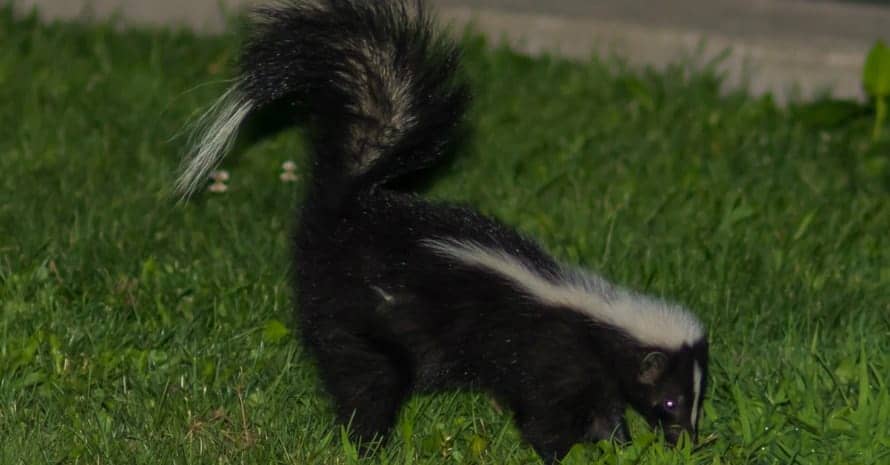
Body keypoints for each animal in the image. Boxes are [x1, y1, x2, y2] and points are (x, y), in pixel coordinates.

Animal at [179, 0, 708, 458]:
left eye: (696, 400)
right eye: (669, 401)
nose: (686, 440)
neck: (598, 319)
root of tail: (347, 210)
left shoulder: (588, 373)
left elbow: (603, 409)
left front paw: (618, 445)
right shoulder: (551, 361)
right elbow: (546, 418)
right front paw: (565, 453)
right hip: (357, 317)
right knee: (366, 379)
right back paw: (367, 444)